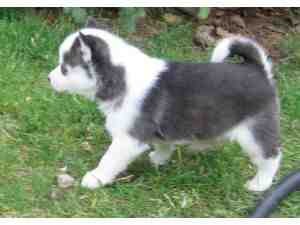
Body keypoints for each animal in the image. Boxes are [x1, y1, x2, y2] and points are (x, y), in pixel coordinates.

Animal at [48, 19, 280, 192]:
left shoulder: (128, 138)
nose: (49, 78)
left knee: (271, 157)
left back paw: (259, 184)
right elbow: (163, 144)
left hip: (255, 133)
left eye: (64, 68)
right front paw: (158, 159)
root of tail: (258, 70)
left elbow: (109, 159)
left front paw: (95, 178)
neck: (121, 78)